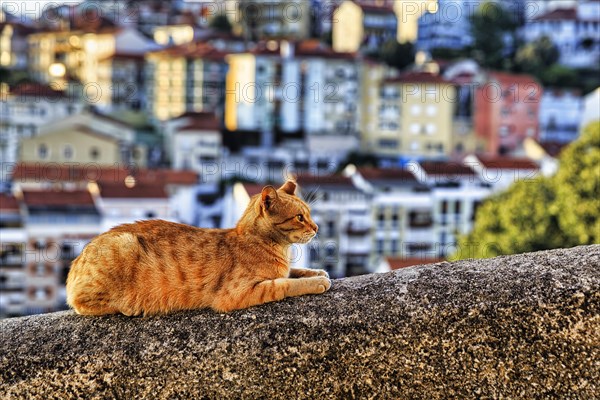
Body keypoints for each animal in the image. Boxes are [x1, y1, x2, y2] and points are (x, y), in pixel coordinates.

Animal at [66, 179, 330, 316]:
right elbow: (285, 284)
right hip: (123, 244)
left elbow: (294, 271)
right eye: (299, 217)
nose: (317, 227)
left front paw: (317, 272)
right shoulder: (238, 293)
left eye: (309, 213)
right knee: (81, 303)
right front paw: (317, 282)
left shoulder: (283, 270)